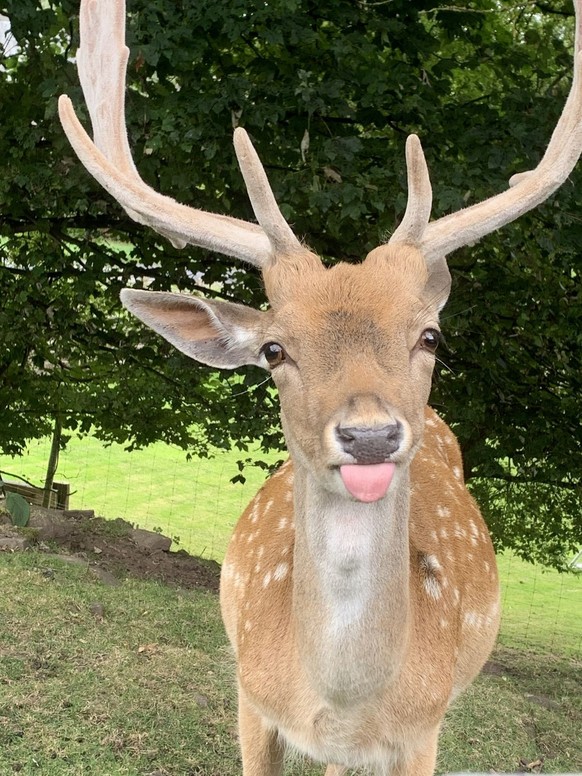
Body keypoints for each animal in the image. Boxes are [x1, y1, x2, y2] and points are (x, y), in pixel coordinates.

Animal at [58, 1, 582, 774]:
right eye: (274, 349)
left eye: (430, 336)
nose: (371, 435)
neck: (340, 700)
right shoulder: (250, 698)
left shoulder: (423, 731)